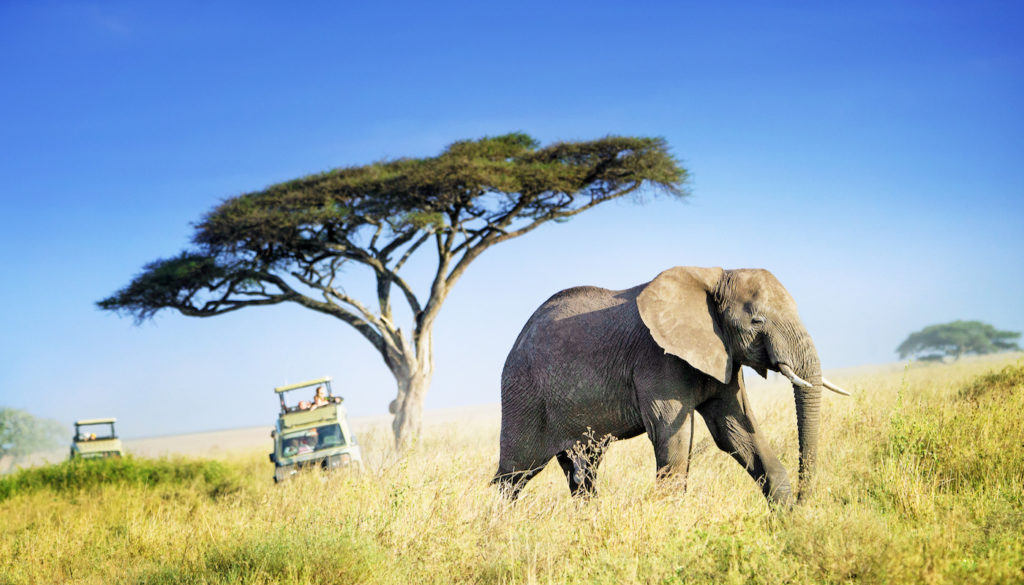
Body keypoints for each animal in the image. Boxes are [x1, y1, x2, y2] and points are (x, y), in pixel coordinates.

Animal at [491, 266, 849, 505]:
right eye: (757, 321)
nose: (805, 500)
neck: (712, 277)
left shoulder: (723, 357)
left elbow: (737, 433)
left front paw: (789, 525)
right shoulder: (657, 361)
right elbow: (671, 439)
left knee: (583, 471)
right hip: (522, 392)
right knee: (514, 473)